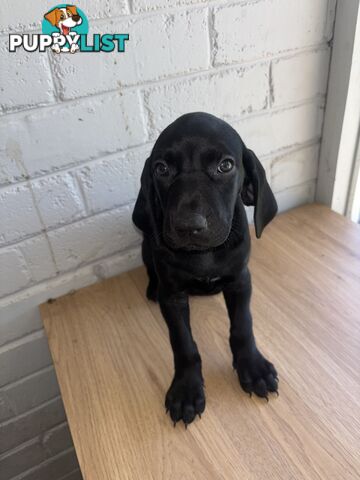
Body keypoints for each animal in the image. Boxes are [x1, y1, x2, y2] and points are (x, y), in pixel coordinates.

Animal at [132, 113, 278, 428]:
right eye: (161, 169)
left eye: (225, 165)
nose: (189, 226)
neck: (204, 255)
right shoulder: (173, 296)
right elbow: (183, 343)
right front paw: (186, 389)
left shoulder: (240, 281)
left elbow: (243, 325)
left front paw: (252, 366)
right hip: (147, 245)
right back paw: (151, 288)